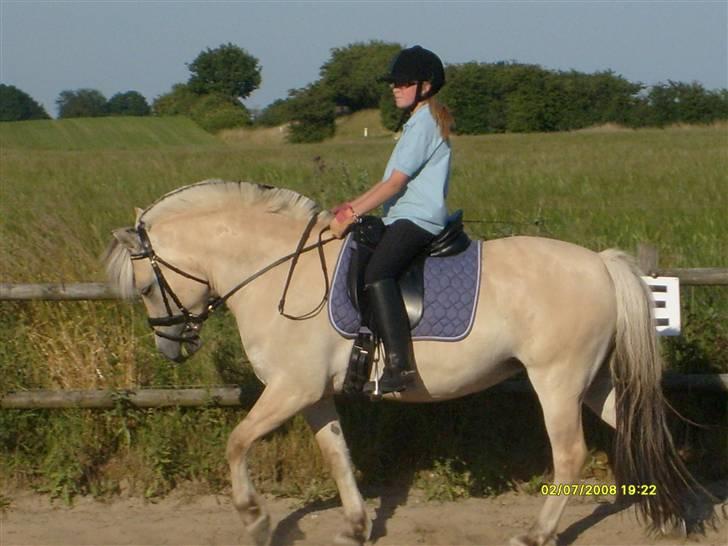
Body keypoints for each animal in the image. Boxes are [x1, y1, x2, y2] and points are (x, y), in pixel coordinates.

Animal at [105, 180, 708, 544]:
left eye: (146, 287)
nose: (171, 347)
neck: (278, 273)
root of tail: (601, 264)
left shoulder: (291, 389)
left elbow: (236, 442)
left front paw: (255, 520)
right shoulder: (313, 394)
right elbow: (337, 455)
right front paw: (355, 525)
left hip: (556, 381)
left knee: (570, 455)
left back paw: (537, 533)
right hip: (593, 381)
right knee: (642, 428)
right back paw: (677, 512)